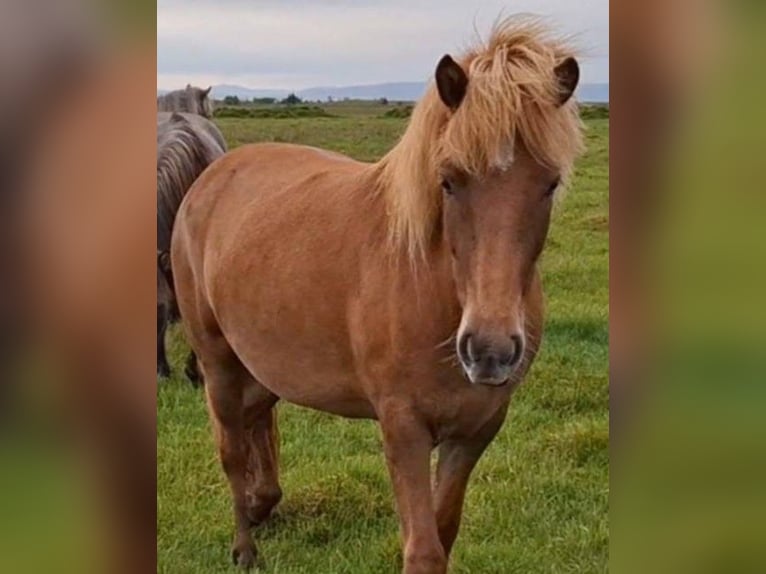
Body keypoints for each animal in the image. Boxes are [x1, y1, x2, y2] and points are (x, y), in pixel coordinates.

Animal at [172, 17, 585, 573]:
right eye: (449, 181)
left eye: (550, 183)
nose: (489, 351)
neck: (437, 294)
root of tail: (211, 176)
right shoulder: (403, 427)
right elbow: (424, 550)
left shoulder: (474, 431)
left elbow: (443, 532)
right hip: (216, 359)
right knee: (231, 444)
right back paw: (244, 545)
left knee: (258, 414)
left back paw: (263, 505)